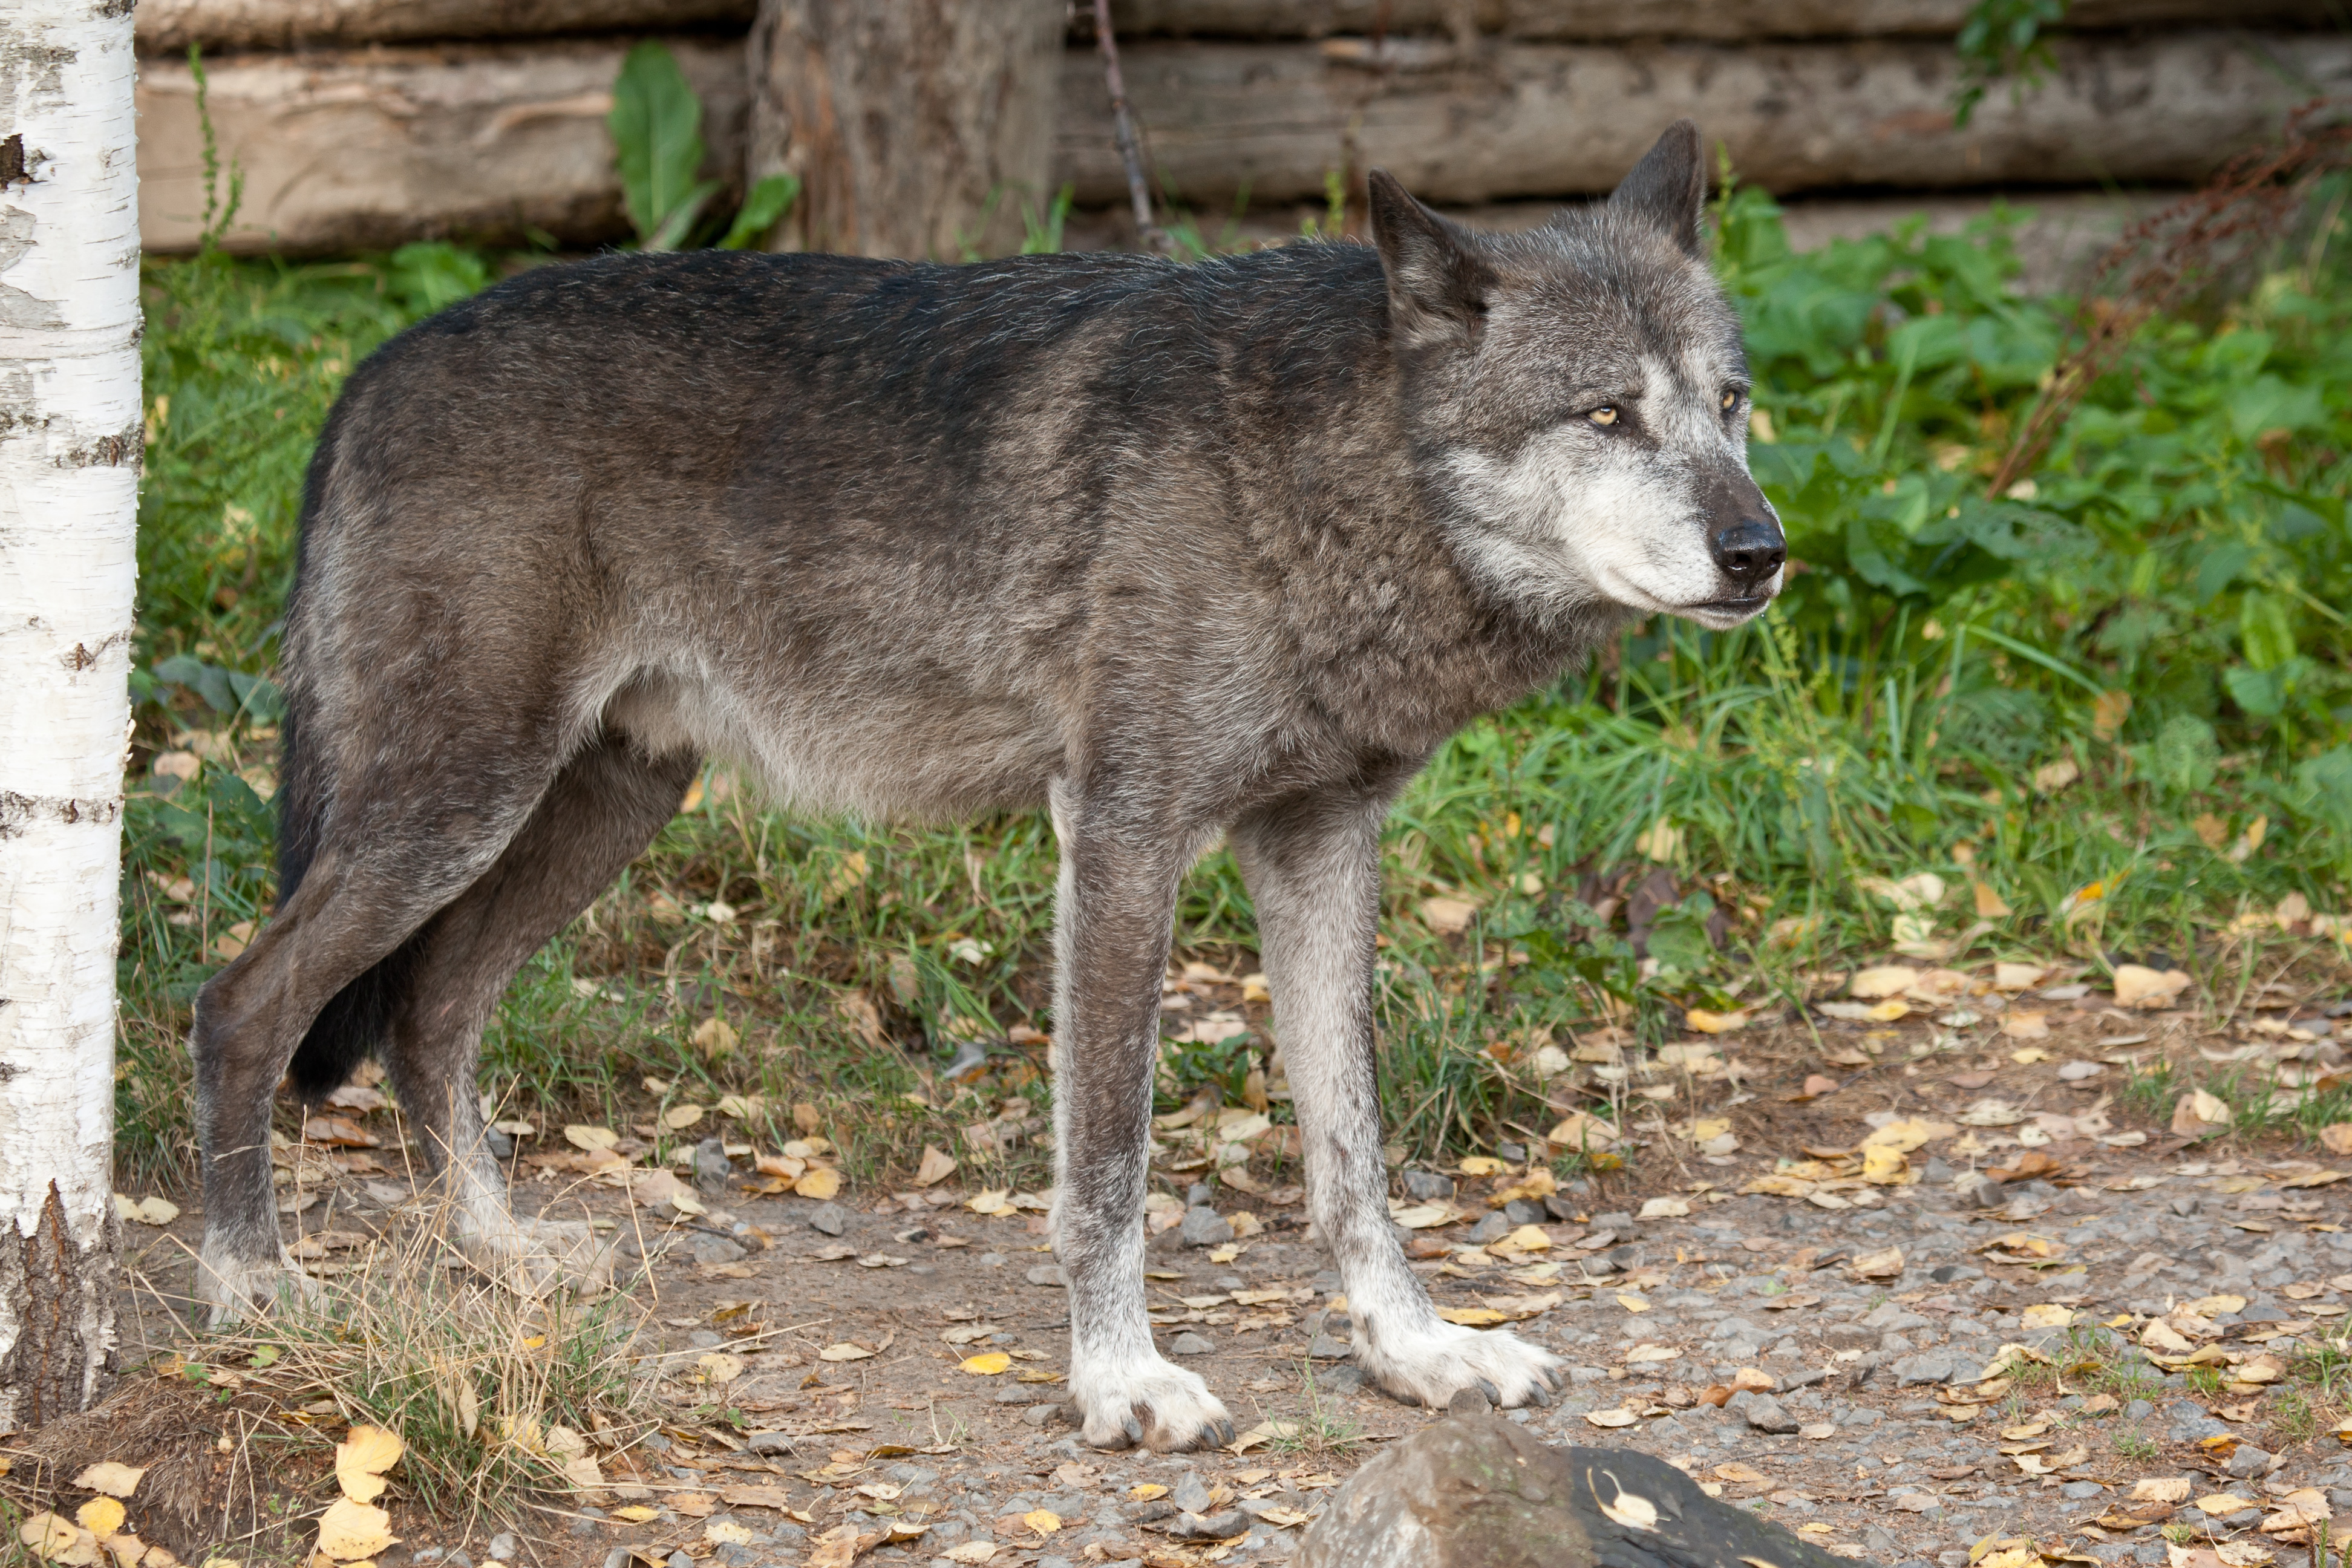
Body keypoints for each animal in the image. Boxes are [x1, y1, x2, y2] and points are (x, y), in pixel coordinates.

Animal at [192, 123, 1778, 1457]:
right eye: (1604, 416)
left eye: (1730, 406)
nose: (1760, 550)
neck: (1317, 479)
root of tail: (369, 369)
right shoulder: (1124, 836)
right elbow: (1111, 1162)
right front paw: (1122, 1379)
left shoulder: (1320, 844)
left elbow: (1354, 1156)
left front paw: (1418, 1351)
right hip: (457, 805)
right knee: (244, 1002)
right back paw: (249, 1282)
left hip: (598, 810)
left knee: (429, 1006)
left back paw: (497, 1248)